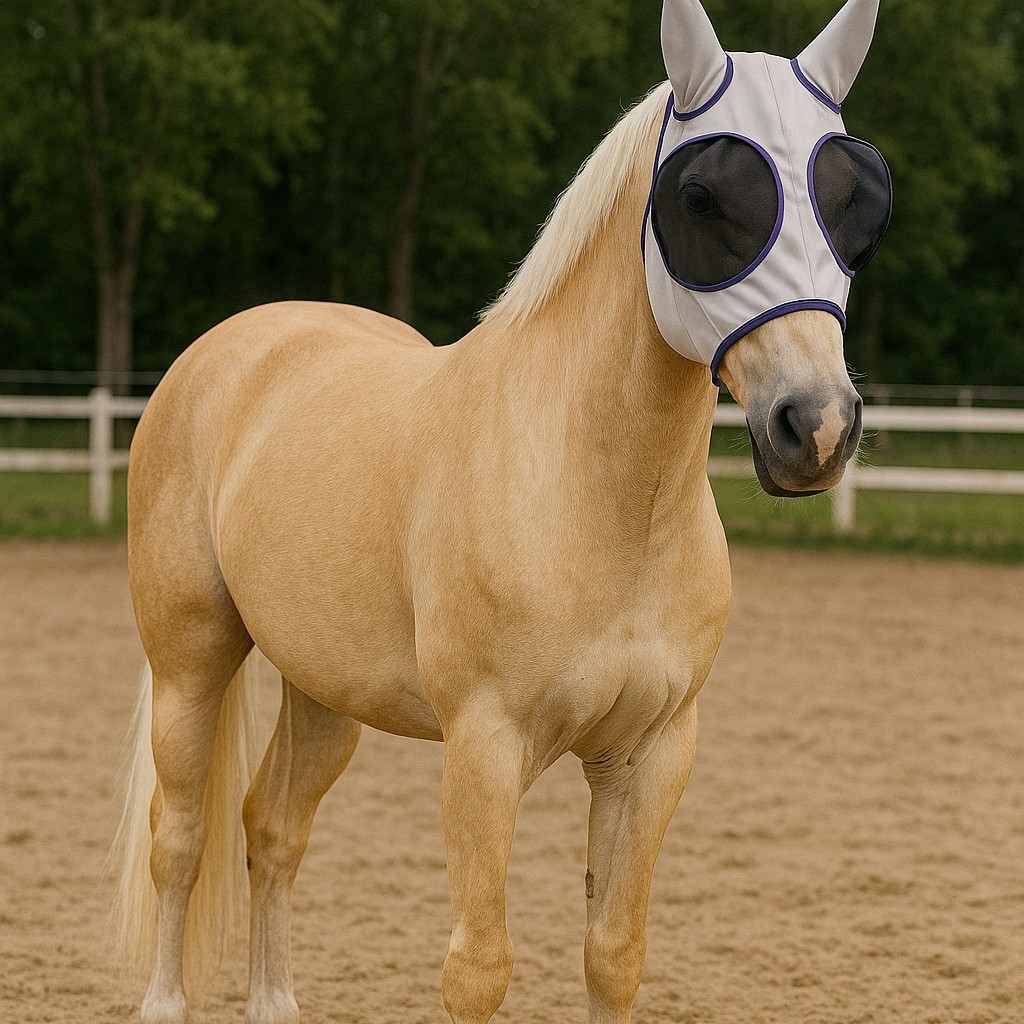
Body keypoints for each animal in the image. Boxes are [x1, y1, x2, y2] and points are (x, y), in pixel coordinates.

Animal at [113, 1, 889, 1021]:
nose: (816, 426)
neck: (598, 504)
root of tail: (230, 347)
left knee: (271, 829)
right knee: (180, 837)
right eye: (701, 196)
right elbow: (478, 968)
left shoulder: (650, 755)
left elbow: (613, 953)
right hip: (190, 662)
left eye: (854, 201)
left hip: (324, 692)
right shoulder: (484, 751)